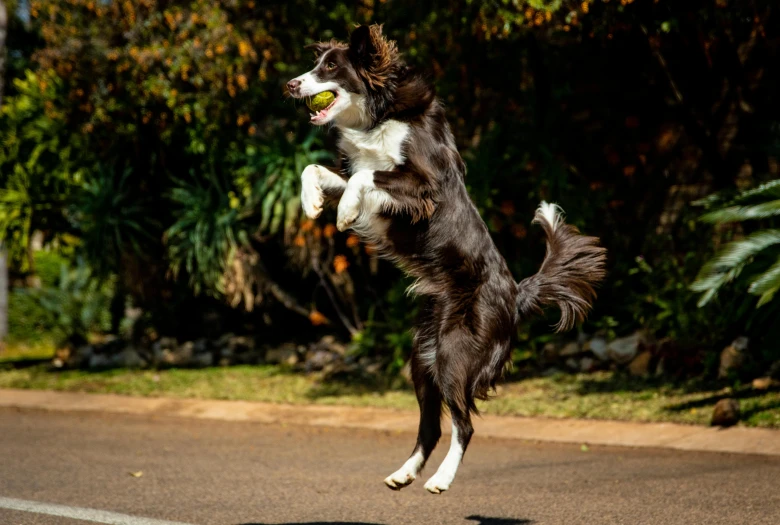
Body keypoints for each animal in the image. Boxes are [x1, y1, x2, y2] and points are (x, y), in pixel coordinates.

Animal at [288, 23, 608, 492]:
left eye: (330, 66)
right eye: (316, 63)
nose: (291, 84)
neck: (379, 114)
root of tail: (516, 294)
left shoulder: (426, 185)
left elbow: (367, 178)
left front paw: (344, 212)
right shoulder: (366, 178)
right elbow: (315, 169)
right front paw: (312, 203)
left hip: (456, 352)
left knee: (464, 424)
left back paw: (440, 479)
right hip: (424, 356)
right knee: (432, 425)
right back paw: (404, 474)